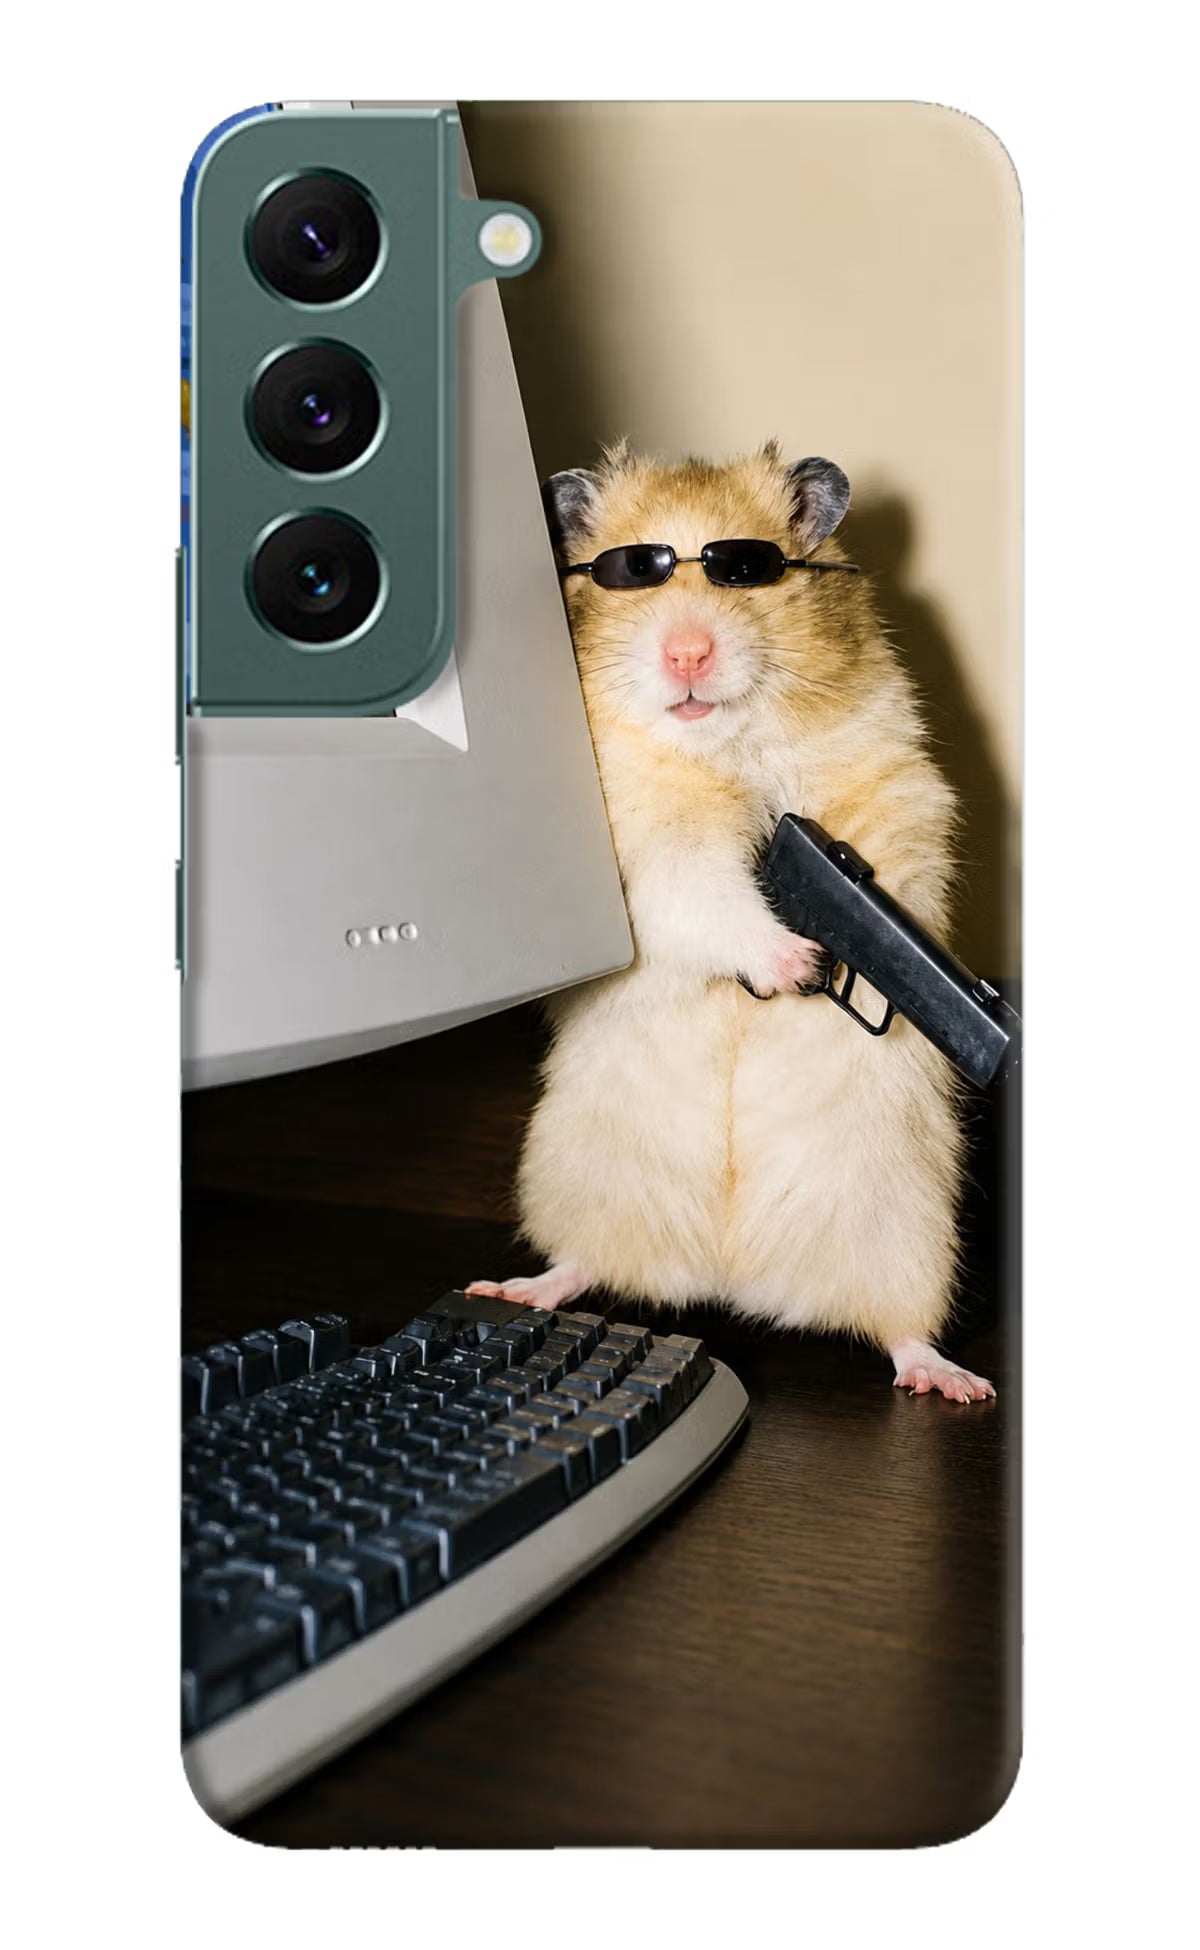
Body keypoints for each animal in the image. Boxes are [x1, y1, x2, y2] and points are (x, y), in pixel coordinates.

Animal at [468, 441, 994, 1403]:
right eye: (633, 572)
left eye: (745, 570)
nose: (686, 653)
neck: (724, 746)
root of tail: (730, 1277)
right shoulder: (648, 851)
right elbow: (707, 895)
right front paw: (796, 964)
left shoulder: (895, 789)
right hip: (579, 1176)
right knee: (582, 1263)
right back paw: (515, 1288)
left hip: (907, 1229)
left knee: (899, 1328)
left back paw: (954, 1382)